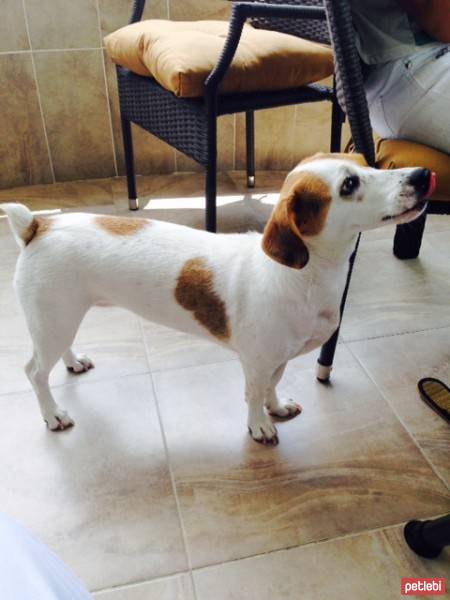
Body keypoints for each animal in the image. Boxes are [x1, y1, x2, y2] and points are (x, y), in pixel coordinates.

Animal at [0, 155, 436, 446]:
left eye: (368, 163)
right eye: (348, 185)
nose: (423, 174)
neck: (302, 276)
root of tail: (38, 225)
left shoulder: (276, 359)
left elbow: (273, 385)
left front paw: (276, 406)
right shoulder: (255, 362)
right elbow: (253, 394)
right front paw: (259, 424)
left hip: (60, 319)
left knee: (57, 352)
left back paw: (73, 362)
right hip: (53, 322)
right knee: (35, 372)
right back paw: (52, 414)